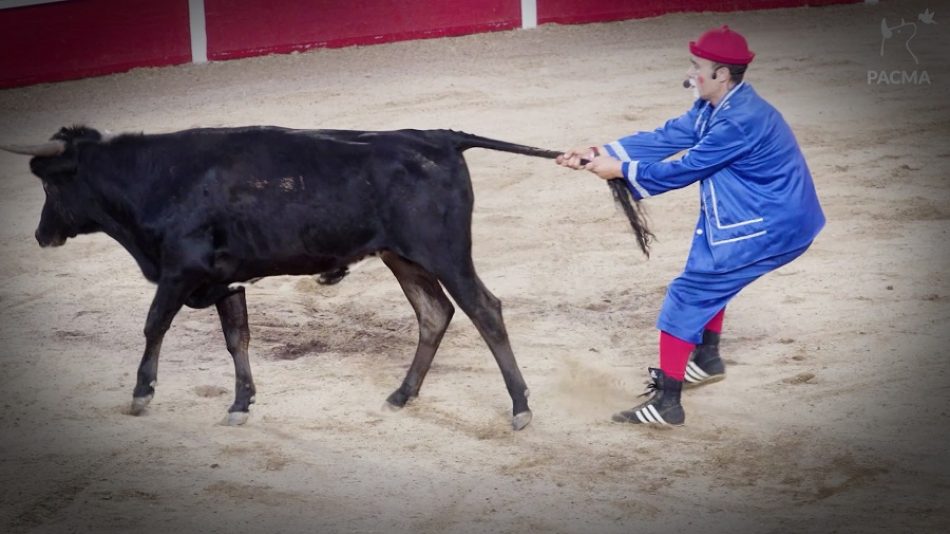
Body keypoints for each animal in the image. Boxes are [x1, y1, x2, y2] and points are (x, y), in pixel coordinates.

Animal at [0, 125, 652, 432]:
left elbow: (153, 324)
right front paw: (241, 403)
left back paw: (519, 406)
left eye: (51, 184)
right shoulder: (223, 281)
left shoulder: (181, 272)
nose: (40, 234)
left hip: (444, 253)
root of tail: (438, 136)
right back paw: (401, 394)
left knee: (484, 310)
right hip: (402, 257)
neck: (155, 179)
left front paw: (141, 394)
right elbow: (236, 337)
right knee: (434, 313)